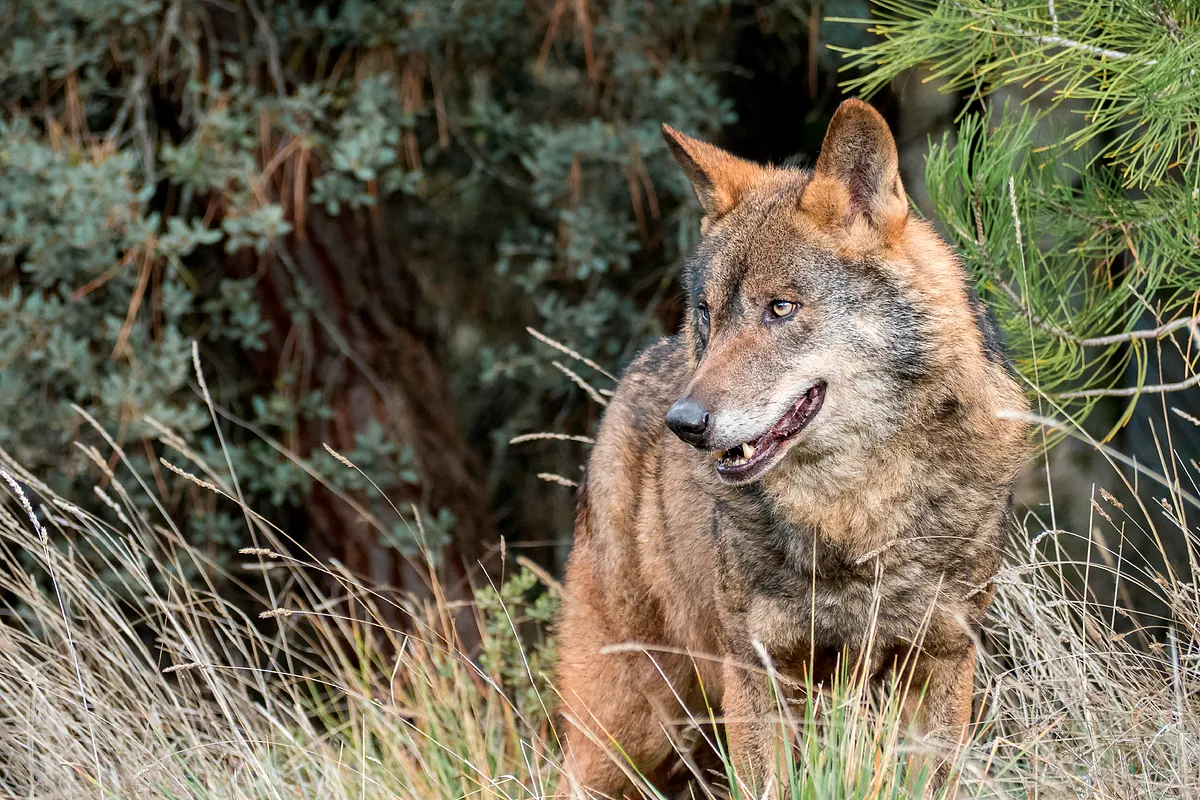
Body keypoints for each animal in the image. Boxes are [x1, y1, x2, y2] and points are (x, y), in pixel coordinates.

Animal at [554, 99, 1029, 798]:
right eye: (708, 312)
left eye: (781, 308)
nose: (684, 422)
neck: (855, 514)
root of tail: (636, 372)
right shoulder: (759, 672)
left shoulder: (941, 661)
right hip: (631, 731)